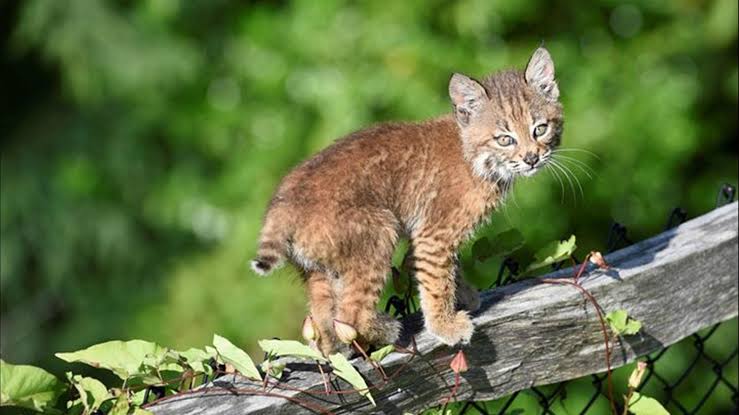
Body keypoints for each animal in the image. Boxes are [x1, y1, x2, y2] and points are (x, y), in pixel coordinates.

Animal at [251, 48, 564, 354]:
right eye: (504, 139)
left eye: (540, 129)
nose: (531, 158)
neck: (476, 157)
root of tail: (283, 201)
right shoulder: (434, 233)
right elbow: (437, 281)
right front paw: (445, 325)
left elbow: (446, 270)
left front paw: (464, 297)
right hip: (379, 230)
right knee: (350, 314)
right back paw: (387, 331)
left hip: (319, 267)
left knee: (323, 318)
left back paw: (336, 348)